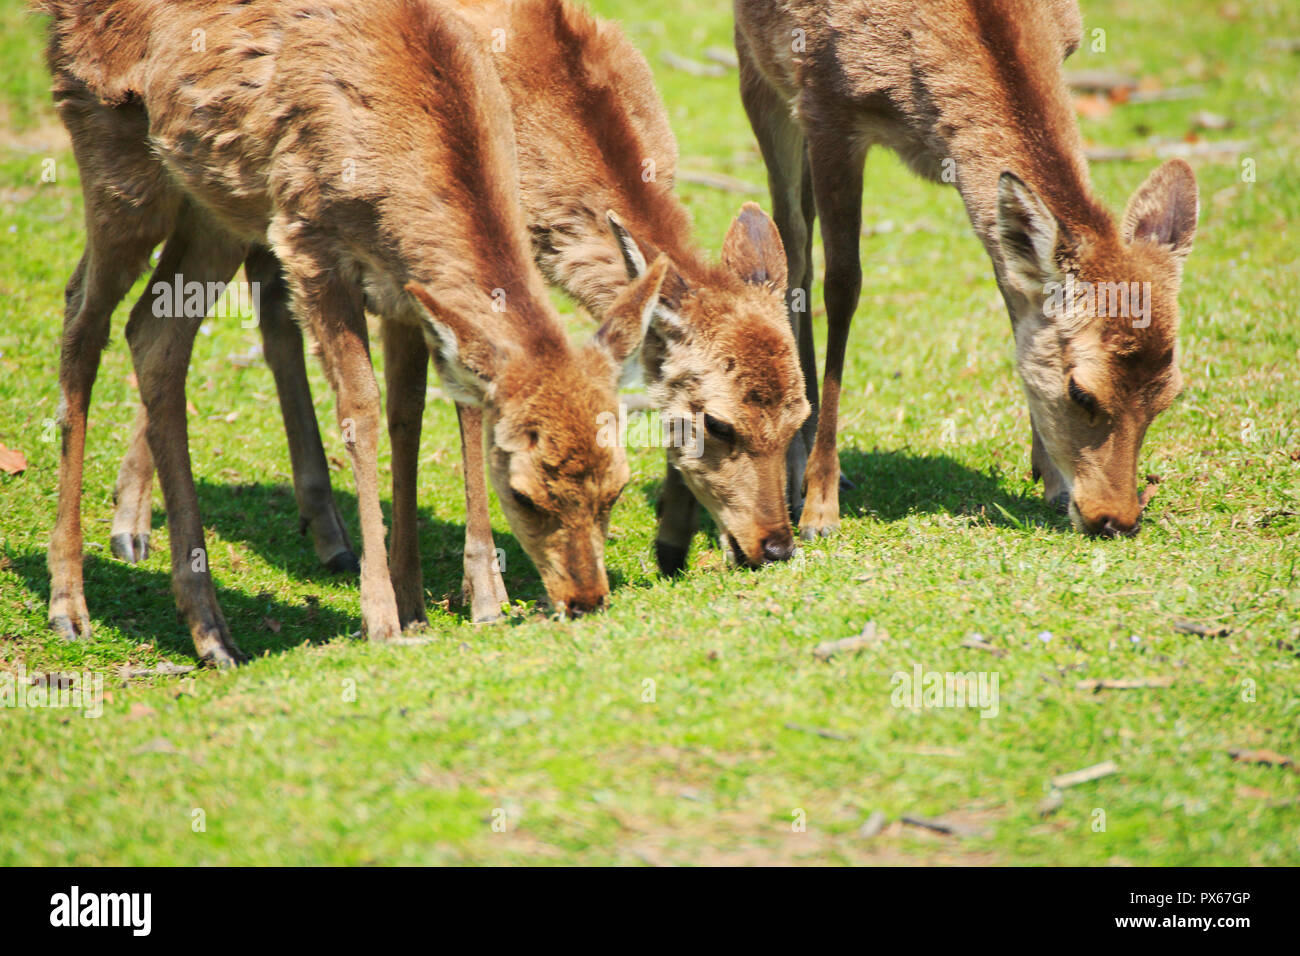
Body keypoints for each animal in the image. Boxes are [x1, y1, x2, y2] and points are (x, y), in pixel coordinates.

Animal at [44, 0, 665, 660]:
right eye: (524, 494)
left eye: (617, 487)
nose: (586, 598)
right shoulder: (310, 242)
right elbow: (361, 410)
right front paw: (383, 617)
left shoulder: (403, 286)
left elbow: (409, 413)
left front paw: (423, 604)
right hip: (112, 155)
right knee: (82, 316)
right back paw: (71, 604)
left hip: (216, 204)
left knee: (154, 334)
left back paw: (211, 631)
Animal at [104, 0, 811, 613]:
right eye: (718, 423)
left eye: (798, 419)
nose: (777, 544)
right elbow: (465, 414)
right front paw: (480, 594)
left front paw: (673, 543)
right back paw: (130, 527)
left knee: (260, 309)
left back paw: (326, 534)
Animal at [738, 0, 1201, 538]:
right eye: (1081, 392)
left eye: (1169, 394)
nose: (1116, 519)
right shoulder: (824, 103)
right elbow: (843, 286)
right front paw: (819, 509)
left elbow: (1012, 287)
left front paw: (1052, 481)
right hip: (759, 73)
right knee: (792, 247)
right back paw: (796, 472)